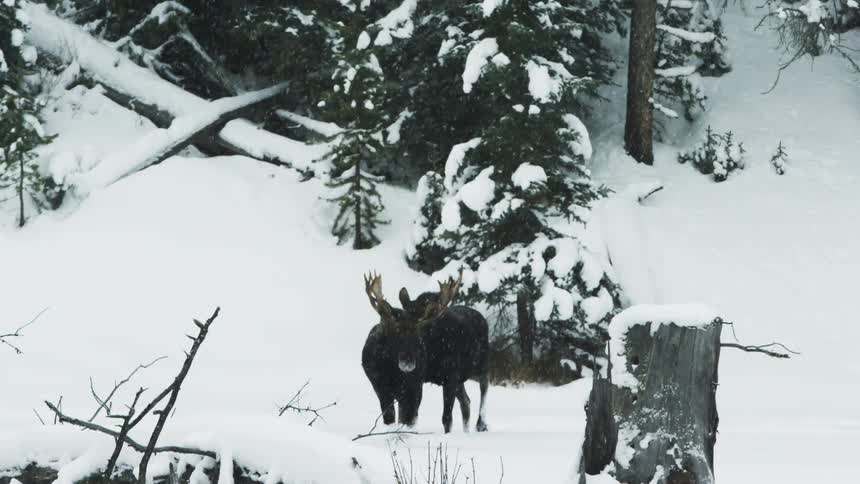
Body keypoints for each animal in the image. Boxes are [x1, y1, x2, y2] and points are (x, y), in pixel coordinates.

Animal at [360, 272, 489, 434]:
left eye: (418, 335)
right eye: (396, 332)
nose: (408, 363)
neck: (391, 369)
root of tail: (482, 318)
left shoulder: (417, 385)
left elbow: (419, 419)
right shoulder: (382, 389)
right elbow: (392, 420)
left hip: (479, 363)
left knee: (483, 386)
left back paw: (481, 424)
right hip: (457, 377)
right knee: (466, 402)